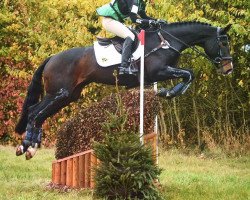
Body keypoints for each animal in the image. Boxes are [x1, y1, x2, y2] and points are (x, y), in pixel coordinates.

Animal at [14, 20, 233, 159]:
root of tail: (51, 58)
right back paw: (25, 146)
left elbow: (188, 74)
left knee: (40, 114)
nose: (228, 68)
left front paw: (165, 92)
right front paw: (168, 93)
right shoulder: (159, 71)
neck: (166, 42)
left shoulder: (158, 75)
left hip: (68, 96)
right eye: (223, 42)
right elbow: (189, 73)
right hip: (59, 93)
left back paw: (31, 148)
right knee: (34, 112)